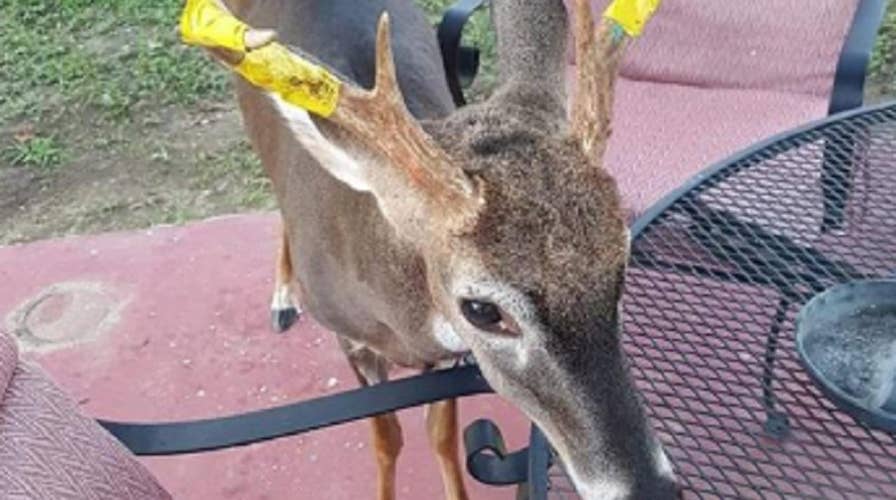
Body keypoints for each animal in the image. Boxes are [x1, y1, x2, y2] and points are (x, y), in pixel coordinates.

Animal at [181, 0, 677, 498]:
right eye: (481, 310)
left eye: (622, 265)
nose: (652, 489)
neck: (396, 316)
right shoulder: (349, 337)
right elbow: (386, 437)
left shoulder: (444, 356)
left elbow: (440, 435)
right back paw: (284, 297)